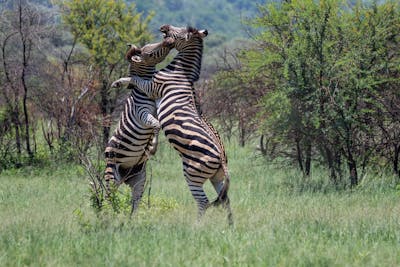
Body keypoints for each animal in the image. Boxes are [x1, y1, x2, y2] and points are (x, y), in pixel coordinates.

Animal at [104, 37, 173, 216]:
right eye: (149, 52)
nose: (168, 40)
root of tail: (125, 177)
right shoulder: (141, 112)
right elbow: (156, 124)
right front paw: (153, 147)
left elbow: (159, 123)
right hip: (111, 175)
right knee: (108, 197)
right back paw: (107, 215)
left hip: (139, 179)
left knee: (135, 202)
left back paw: (131, 219)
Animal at [111, 24, 233, 224]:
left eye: (179, 31)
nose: (164, 27)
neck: (180, 71)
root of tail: (222, 159)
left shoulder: (153, 87)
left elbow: (136, 79)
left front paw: (119, 81)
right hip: (217, 178)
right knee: (225, 200)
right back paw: (230, 226)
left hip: (192, 174)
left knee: (203, 202)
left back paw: (196, 226)